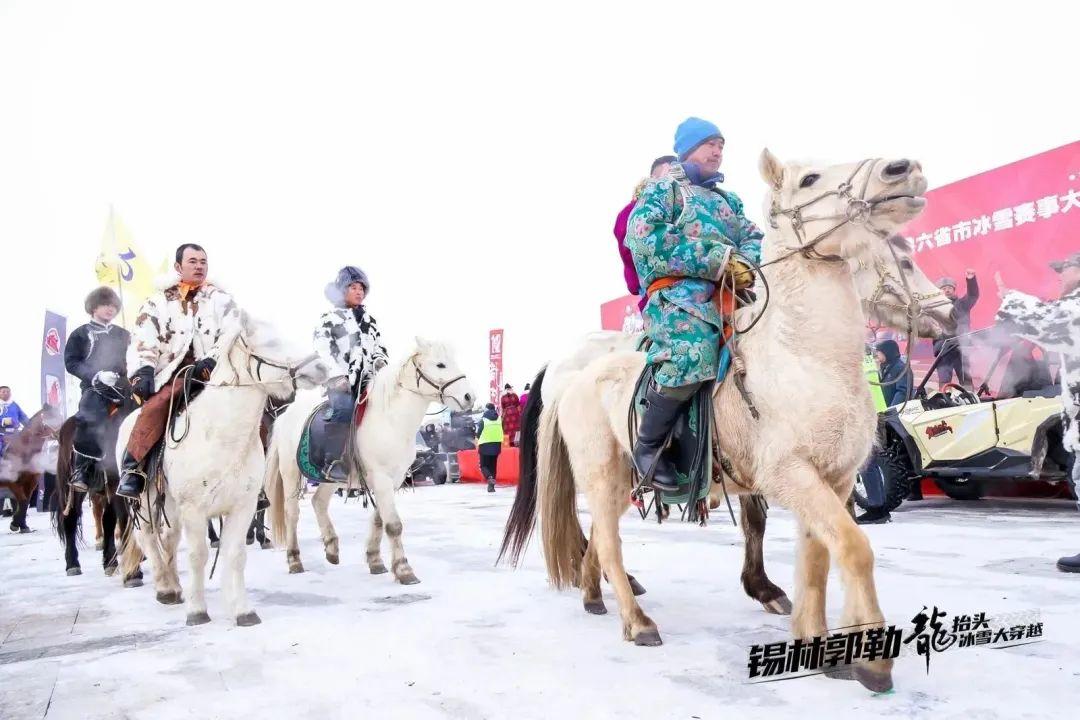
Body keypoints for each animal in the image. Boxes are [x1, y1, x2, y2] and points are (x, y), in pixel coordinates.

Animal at [117, 315, 326, 626]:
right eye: (271, 342)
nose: (321, 367)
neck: (221, 435)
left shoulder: (242, 507)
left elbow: (236, 554)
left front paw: (243, 610)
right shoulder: (194, 510)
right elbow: (198, 555)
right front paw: (197, 611)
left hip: (172, 509)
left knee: (168, 540)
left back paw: (175, 587)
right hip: (144, 503)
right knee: (148, 540)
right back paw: (165, 588)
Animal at [263, 338, 475, 587]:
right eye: (440, 364)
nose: (470, 397)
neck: (390, 420)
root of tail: (285, 416)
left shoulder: (392, 480)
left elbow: (379, 520)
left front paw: (375, 561)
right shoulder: (381, 479)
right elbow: (393, 525)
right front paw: (404, 570)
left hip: (330, 478)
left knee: (318, 502)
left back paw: (332, 547)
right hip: (290, 473)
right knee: (292, 514)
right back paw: (294, 560)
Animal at [503, 151, 946, 690]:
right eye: (809, 178)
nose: (902, 169)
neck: (809, 358)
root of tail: (570, 378)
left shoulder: (835, 478)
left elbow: (818, 557)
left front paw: (816, 642)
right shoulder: (790, 474)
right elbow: (853, 547)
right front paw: (871, 660)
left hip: (626, 480)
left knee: (600, 540)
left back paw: (593, 595)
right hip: (602, 474)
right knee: (607, 542)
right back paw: (637, 621)